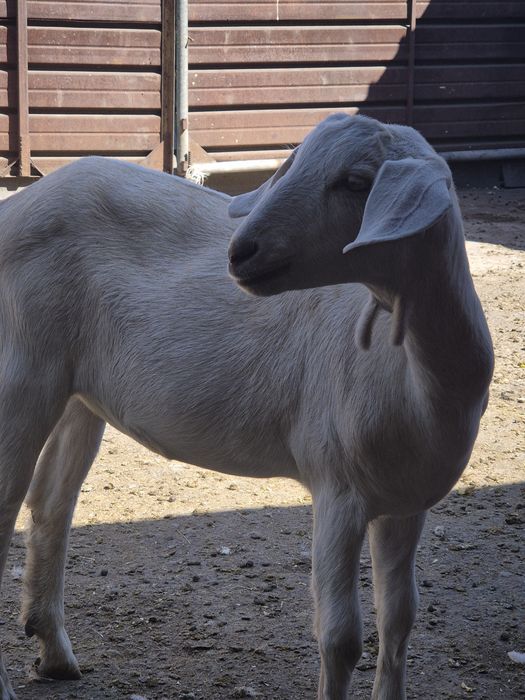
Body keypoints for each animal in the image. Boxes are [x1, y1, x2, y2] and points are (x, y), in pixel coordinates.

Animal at [0, 114, 492, 700]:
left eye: (356, 182)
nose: (241, 251)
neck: (417, 377)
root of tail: (13, 208)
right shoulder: (338, 486)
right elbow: (341, 638)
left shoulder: (404, 502)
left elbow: (399, 622)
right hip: (19, 369)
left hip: (77, 391)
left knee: (51, 502)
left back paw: (54, 652)